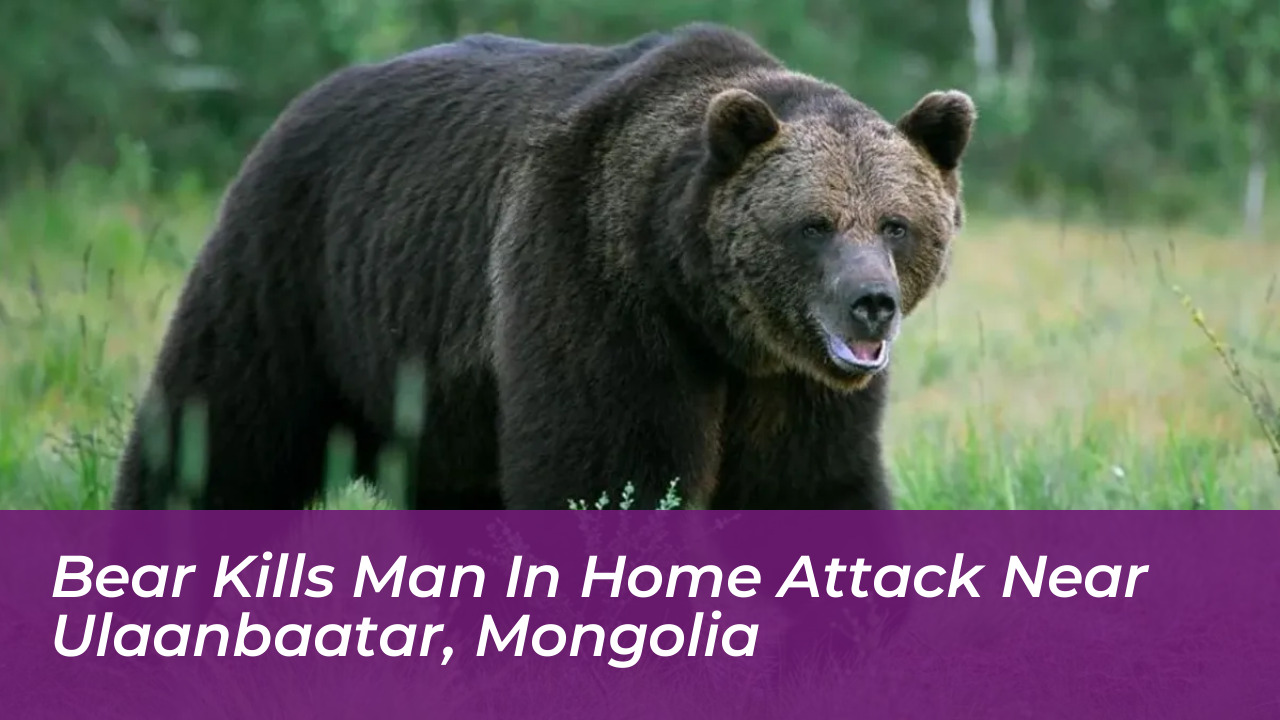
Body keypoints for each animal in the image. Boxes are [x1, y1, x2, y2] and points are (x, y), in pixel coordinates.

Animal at [112, 22, 976, 511]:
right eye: (814, 225)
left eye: (897, 224)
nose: (871, 302)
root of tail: (303, 100)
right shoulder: (595, 284)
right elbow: (606, 471)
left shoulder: (788, 381)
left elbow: (805, 483)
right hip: (294, 270)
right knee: (220, 431)